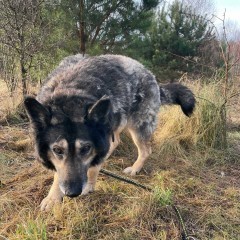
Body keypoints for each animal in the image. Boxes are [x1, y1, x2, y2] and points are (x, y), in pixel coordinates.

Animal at [24, 54, 195, 210]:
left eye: (86, 149)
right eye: (57, 150)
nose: (72, 193)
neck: (70, 95)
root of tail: (151, 76)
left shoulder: (100, 141)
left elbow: (93, 166)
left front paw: (88, 185)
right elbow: (59, 173)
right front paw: (53, 197)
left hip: (137, 128)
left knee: (145, 150)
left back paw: (135, 168)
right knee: (116, 141)